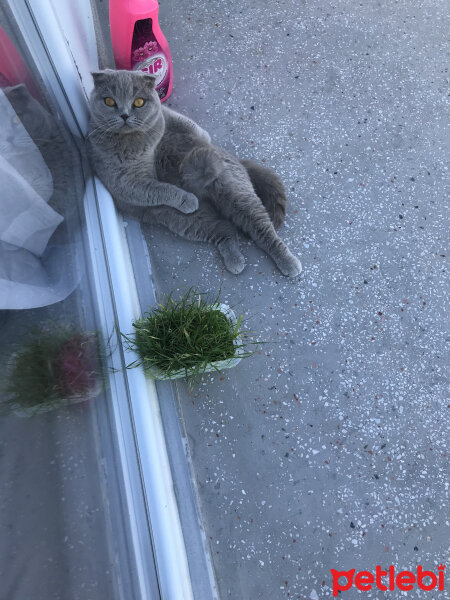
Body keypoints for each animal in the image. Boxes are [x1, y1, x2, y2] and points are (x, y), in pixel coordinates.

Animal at [86, 69, 300, 278]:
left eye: (138, 102)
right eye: (109, 101)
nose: (124, 115)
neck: (140, 141)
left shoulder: (166, 117)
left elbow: (186, 124)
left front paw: (200, 138)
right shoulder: (125, 182)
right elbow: (159, 188)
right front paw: (186, 199)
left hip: (234, 191)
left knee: (261, 227)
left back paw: (287, 262)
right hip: (186, 219)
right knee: (225, 228)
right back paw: (235, 260)